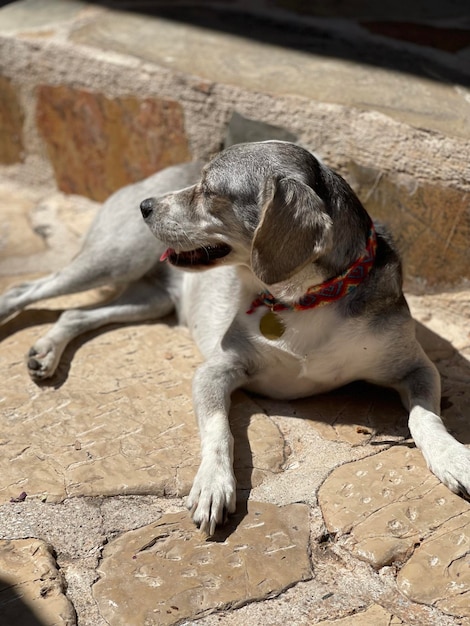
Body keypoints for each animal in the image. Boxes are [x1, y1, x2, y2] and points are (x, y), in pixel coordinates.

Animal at [1, 140, 468, 532]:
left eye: (209, 191)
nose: (145, 207)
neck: (301, 301)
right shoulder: (216, 370)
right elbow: (219, 431)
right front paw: (213, 485)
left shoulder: (415, 368)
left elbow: (423, 417)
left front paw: (451, 458)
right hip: (113, 259)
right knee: (24, 289)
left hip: (147, 300)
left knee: (77, 311)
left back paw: (46, 351)